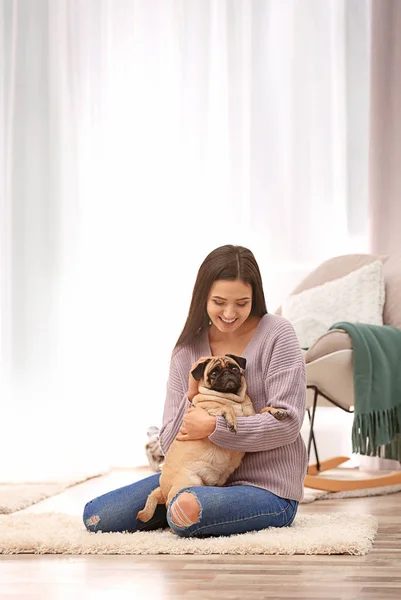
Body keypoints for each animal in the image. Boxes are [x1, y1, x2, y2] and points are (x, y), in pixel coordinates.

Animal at [136, 354, 286, 524]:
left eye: (234, 368)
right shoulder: (208, 413)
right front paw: (231, 421)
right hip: (189, 481)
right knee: (170, 503)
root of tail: (162, 490)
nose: (227, 373)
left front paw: (275, 411)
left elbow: (263, 410)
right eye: (214, 373)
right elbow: (225, 408)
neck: (234, 400)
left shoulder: (252, 417)